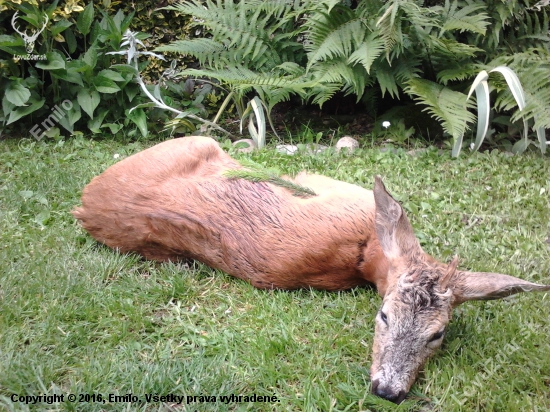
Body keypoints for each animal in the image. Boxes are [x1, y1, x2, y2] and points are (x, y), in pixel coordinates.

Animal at [73, 135, 550, 402]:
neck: (364, 253)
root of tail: (84, 200)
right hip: (196, 138)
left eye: (438, 334)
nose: (387, 391)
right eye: (383, 316)